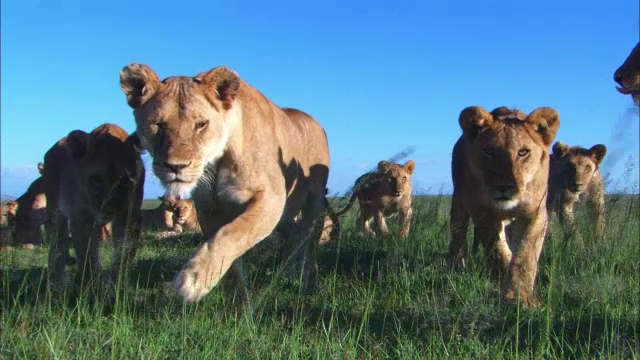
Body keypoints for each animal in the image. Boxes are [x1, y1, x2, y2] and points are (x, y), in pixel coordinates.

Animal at [119, 62, 330, 304]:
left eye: (201, 124)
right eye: (158, 125)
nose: (176, 167)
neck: (216, 162)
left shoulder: (271, 198)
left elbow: (234, 234)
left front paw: (193, 280)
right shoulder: (209, 210)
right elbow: (228, 261)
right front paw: (239, 306)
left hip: (313, 202)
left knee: (309, 243)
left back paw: (309, 283)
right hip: (286, 216)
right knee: (294, 238)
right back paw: (288, 274)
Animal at [450, 105, 560, 306]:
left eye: (523, 152)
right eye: (489, 151)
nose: (504, 187)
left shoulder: (535, 212)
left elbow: (526, 253)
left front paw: (520, 297)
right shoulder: (481, 211)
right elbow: (496, 248)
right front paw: (506, 280)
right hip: (458, 202)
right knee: (457, 235)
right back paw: (455, 265)